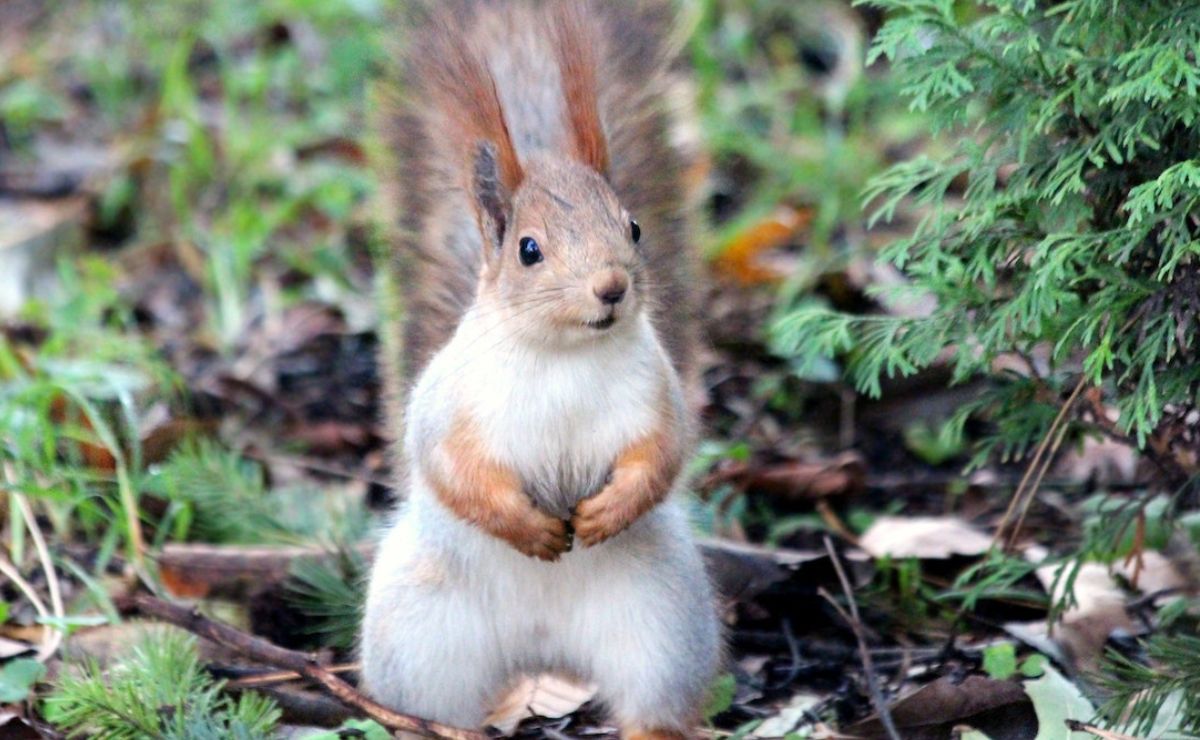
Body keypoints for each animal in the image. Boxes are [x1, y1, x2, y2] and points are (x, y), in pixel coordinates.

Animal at [360, 2, 720, 734]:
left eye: (633, 227)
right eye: (529, 250)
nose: (612, 287)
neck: (563, 355)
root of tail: (543, 651)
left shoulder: (658, 395)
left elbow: (661, 454)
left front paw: (607, 513)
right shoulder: (451, 405)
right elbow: (452, 468)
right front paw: (526, 527)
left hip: (662, 622)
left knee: (653, 703)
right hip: (418, 631)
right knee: (425, 707)